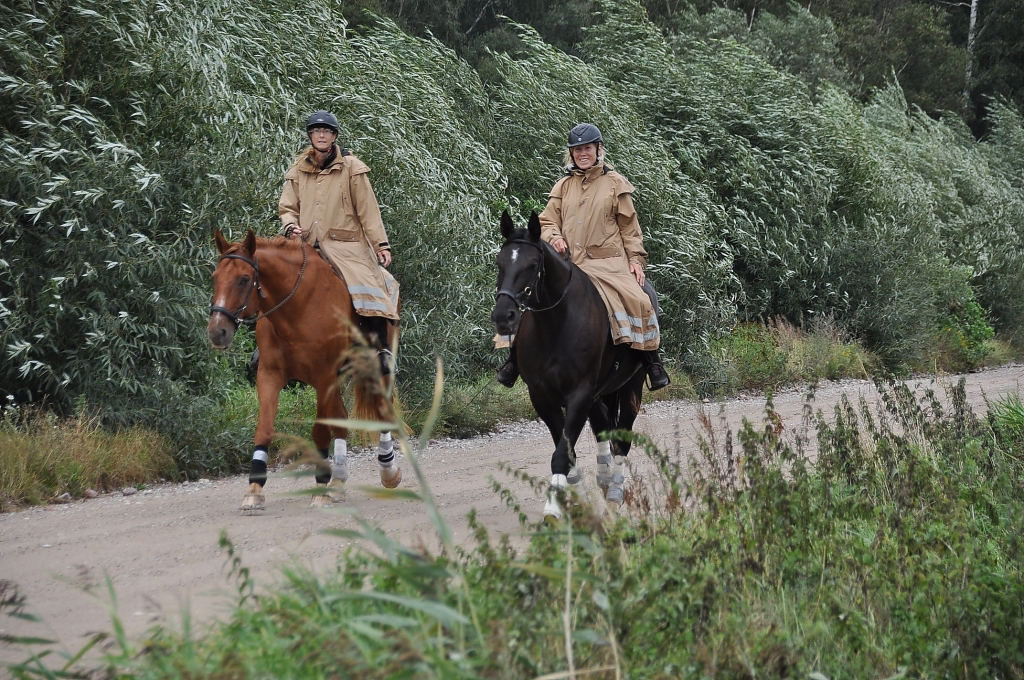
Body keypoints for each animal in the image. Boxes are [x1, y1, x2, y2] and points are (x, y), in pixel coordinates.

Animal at [206, 229, 399, 510]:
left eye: (244, 279)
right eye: (215, 278)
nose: (217, 332)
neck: (297, 307)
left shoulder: (323, 376)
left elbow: (320, 431)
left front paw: (320, 486)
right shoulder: (270, 375)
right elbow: (264, 428)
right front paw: (254, 488)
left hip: (373, 373)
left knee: (383, 414)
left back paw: (389, 473)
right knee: (341, 422)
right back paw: (338, 482)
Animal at [489, 213, 647, 520]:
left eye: (532, 265)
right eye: (500, 263)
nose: (503, 316)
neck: (556, 325)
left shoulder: (580, 394)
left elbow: (563, 452)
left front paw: (553, 508)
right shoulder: (542, 397)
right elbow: (567, 450)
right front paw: (578, 499)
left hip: (631, 389)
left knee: (621, 440)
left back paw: (614, 494)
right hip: (599, 397)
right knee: (602, 429)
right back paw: (603, 480)